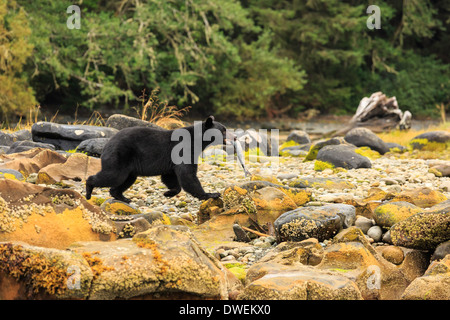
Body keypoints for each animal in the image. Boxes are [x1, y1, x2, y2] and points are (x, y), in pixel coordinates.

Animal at [85, 116, 236, 204]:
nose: (234, 137)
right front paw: (211, 194)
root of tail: (107, 143)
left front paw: (168, 192)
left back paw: (123, 197)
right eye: (223, 130)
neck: (198, 141)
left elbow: (170, 177)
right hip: (120, 156)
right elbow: (187, 175)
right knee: (113, 175)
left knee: (126, 179)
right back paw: (89, 190)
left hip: (129, 167)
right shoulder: (184, 149)